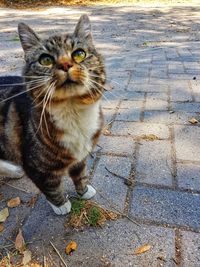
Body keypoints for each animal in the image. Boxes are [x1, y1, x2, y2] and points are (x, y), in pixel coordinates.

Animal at [0, 14, 106, 216]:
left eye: (79, 54)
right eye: (46, 60)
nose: (65, 64)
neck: (73, 113)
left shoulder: (80, 154)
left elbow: (80, 173)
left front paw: (84, 191)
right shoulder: (36, 168)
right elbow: (51, 187)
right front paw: (61, 205)